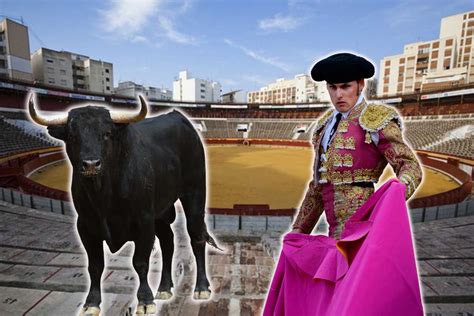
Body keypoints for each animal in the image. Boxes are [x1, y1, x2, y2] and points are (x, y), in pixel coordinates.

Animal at [27, 95, 217, 314]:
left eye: (107, 134)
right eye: (72, 135)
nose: (91, 164)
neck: (103, 196)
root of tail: (179, 117)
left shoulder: (144, 222)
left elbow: (140, 262)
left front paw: (145, 300)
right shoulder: (85, 226)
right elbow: (95, 265)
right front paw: (91, 303)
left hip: (194, 193)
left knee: (196, 238)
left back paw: (201, 288)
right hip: (160, 211)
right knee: (168, 242)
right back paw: (163, 288)